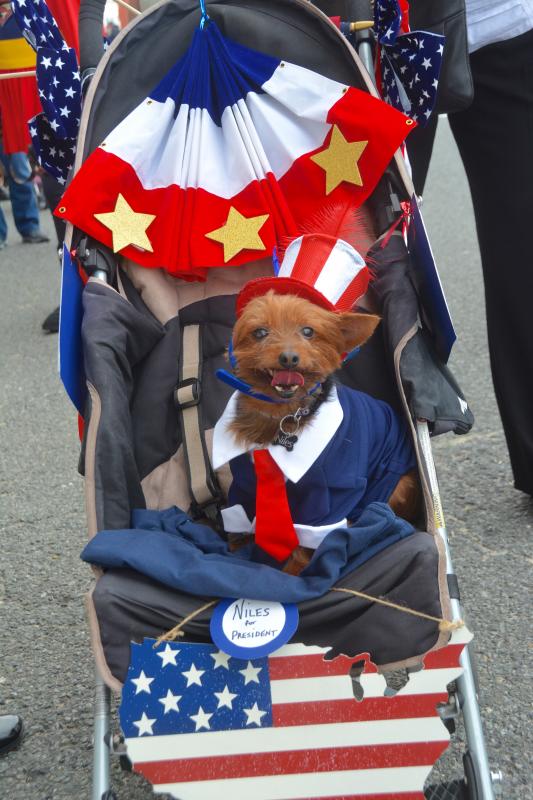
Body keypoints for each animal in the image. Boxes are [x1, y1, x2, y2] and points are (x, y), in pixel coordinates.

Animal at [218, 290, 418, 576]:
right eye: (259, 332)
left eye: (308, 331)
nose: (288, 357)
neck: (282, 417)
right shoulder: (246, 483)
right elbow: (240, 519)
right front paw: (235, 549)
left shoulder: (332, 493)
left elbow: (307, 542)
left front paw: (291, 573)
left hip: (396, 483)